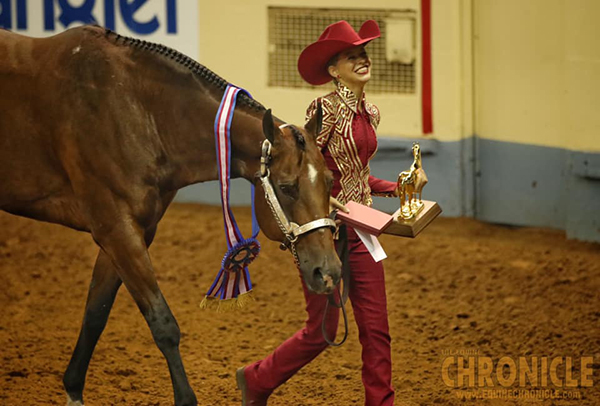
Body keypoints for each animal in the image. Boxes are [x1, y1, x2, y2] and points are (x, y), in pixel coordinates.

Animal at [0, 26, 340, 406]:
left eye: (329, 181)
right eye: (286, 187)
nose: (329, 272)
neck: (130, 109)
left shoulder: (131, 233)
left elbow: (95, 314)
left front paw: (73, 388)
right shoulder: (116, 231)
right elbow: (163, 324)